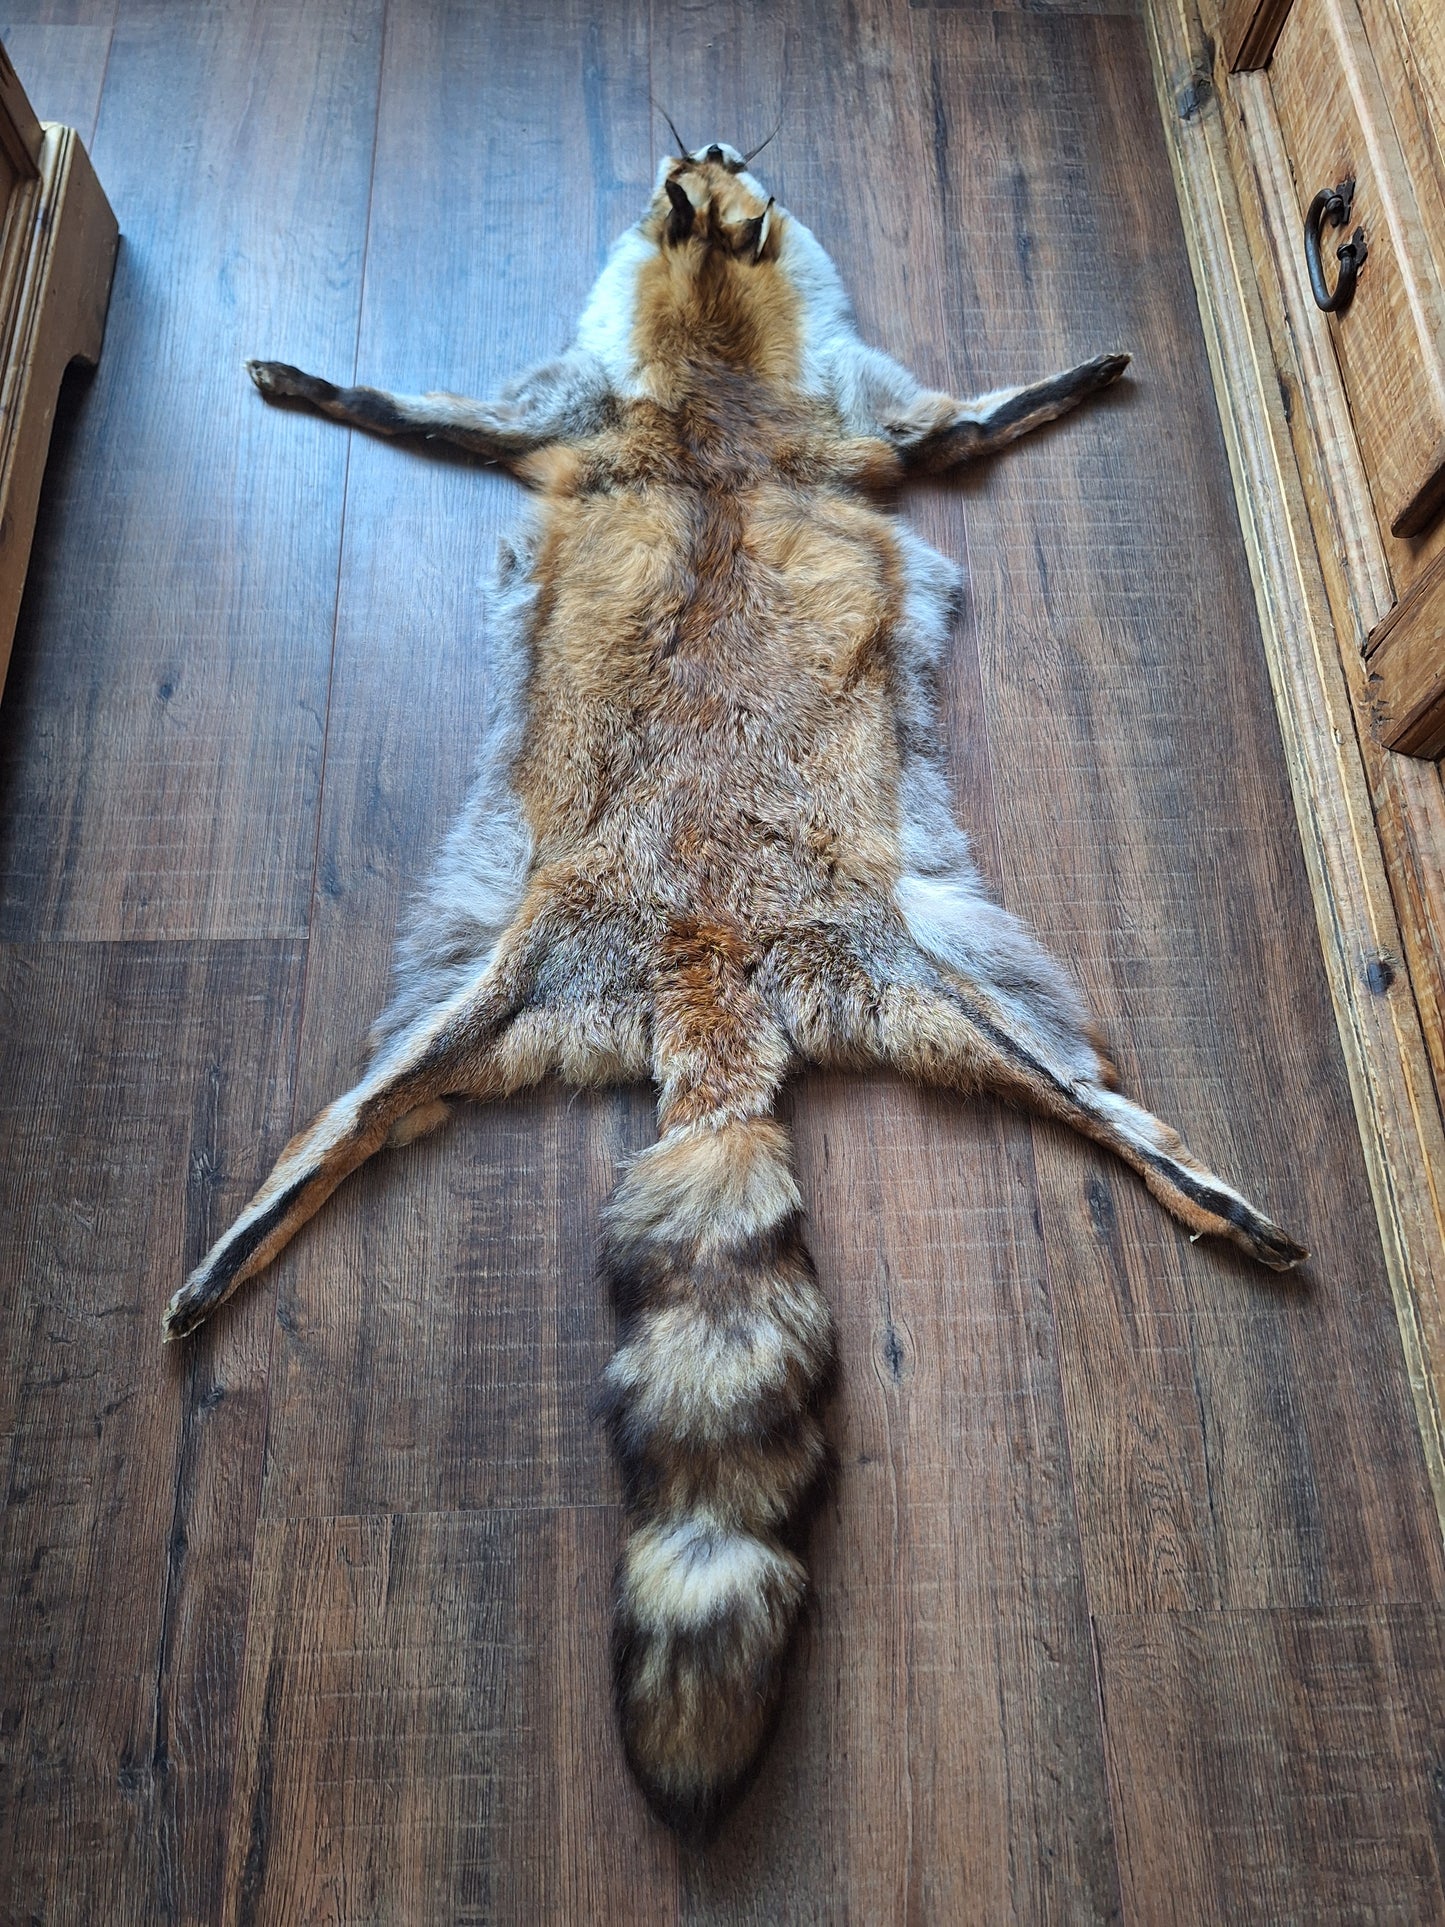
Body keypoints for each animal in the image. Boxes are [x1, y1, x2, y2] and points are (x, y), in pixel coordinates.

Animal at [163, 133, 1306, 1842]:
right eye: (687, 189)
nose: (700, 144)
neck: (710, 368)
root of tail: (705, 973)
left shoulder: (830, 424)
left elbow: (958, 415)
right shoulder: (619, 417)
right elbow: (442, 412)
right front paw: (334, 385)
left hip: (881, 959)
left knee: (1082, 1098)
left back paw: (1192, 1180)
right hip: (555, 962)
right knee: (357, 1117)